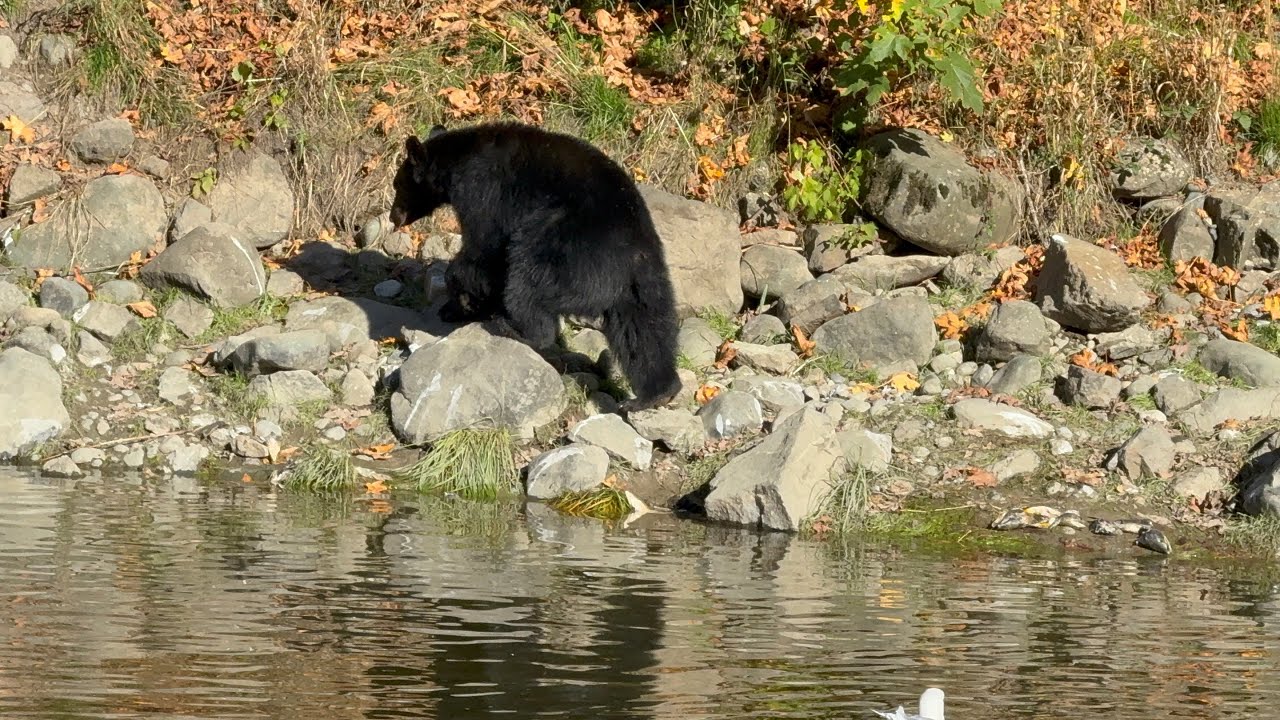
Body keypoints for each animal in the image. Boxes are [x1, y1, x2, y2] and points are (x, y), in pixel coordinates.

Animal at [387, 121, 682, 413]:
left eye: (397, 184)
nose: (393, 217)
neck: (458, 158)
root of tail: (628, 253)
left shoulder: (483, 189)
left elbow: (484, 247)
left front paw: (459, 302)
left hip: (564, 251)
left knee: (527, 281)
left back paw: (516, 330)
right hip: (644, 281)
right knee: (644, 331)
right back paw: (655, 394)